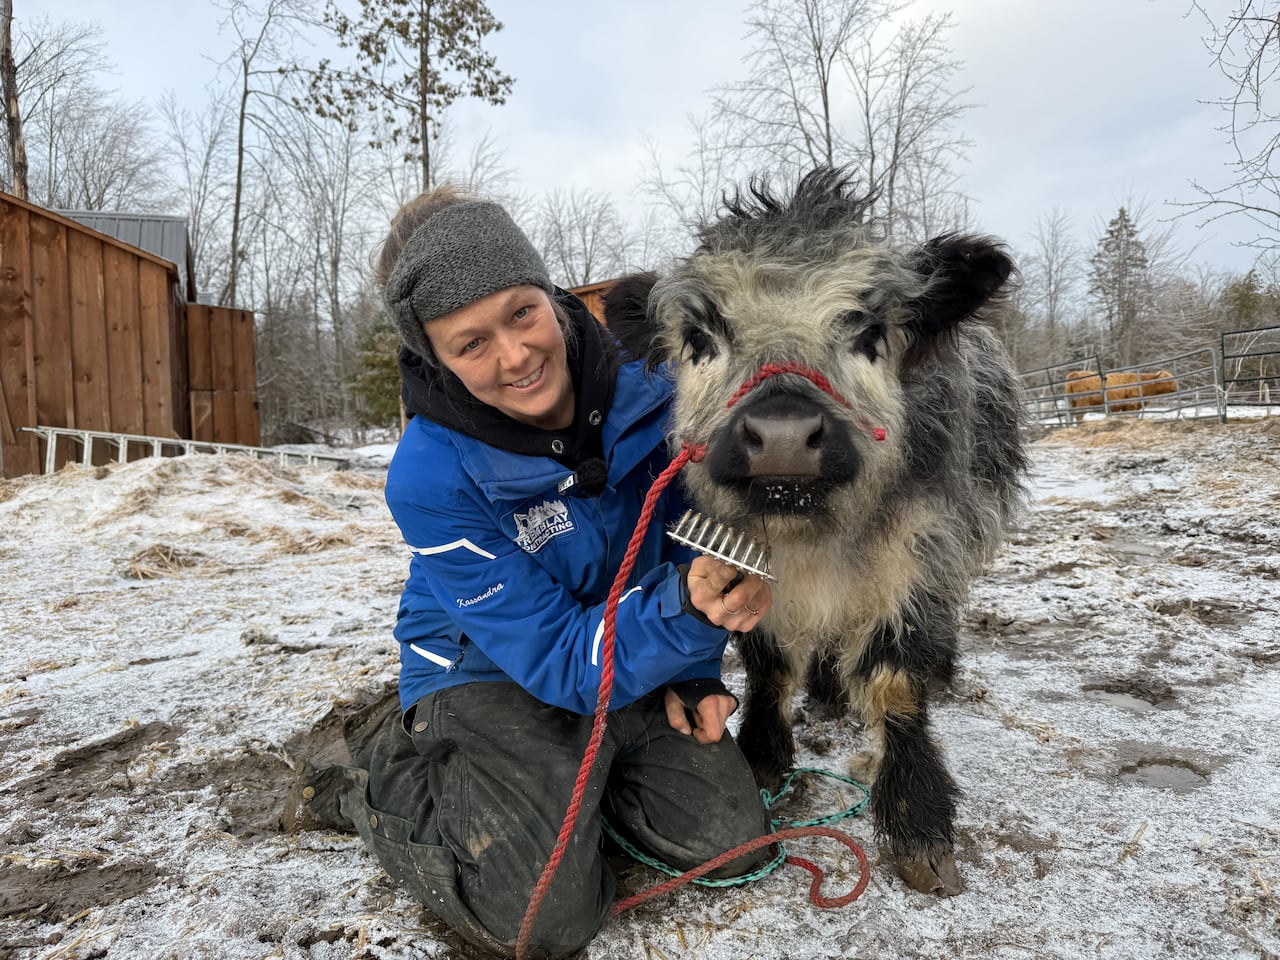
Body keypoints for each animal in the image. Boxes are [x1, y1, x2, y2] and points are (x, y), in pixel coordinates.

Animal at [605, 168, 1028, 897]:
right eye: (700, 338)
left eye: (869, 330)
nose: (781, 435)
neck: (814, 540)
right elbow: (769, 665)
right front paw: (764, 757)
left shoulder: (917, 558)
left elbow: (894, 680)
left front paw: (918, 825)